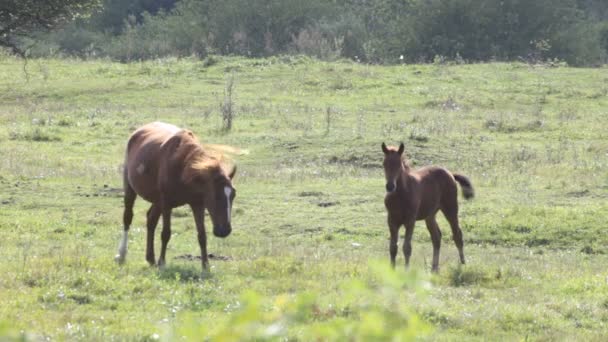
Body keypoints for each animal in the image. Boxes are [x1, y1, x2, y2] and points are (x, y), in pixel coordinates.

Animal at [115, 121, 236, 272]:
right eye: (215, 196)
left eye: (233, 195)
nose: (224, 231)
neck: (182, 166)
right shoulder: (167, 203)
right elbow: (166, 233)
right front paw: (162, 263)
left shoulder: (198, 204)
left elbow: (202, 235)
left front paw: (205, 266)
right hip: (131, 190)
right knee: (127, 218)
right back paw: (122, 254)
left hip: (158, 201)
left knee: (151, 220)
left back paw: (150, 258)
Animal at [382, 143, 472, 272]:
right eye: (384, 164)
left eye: (399, 165)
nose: (390, 186)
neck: (400, 195)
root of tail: (450, 173)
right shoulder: (392, 221)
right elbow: (393, 248)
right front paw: (391, 271)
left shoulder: (410, 221)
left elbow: (407, 248)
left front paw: (406, 271)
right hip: (430, 215)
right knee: (436, 237)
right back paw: (434, 268)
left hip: (450, 208)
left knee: (457, 234)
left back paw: (463, 264)